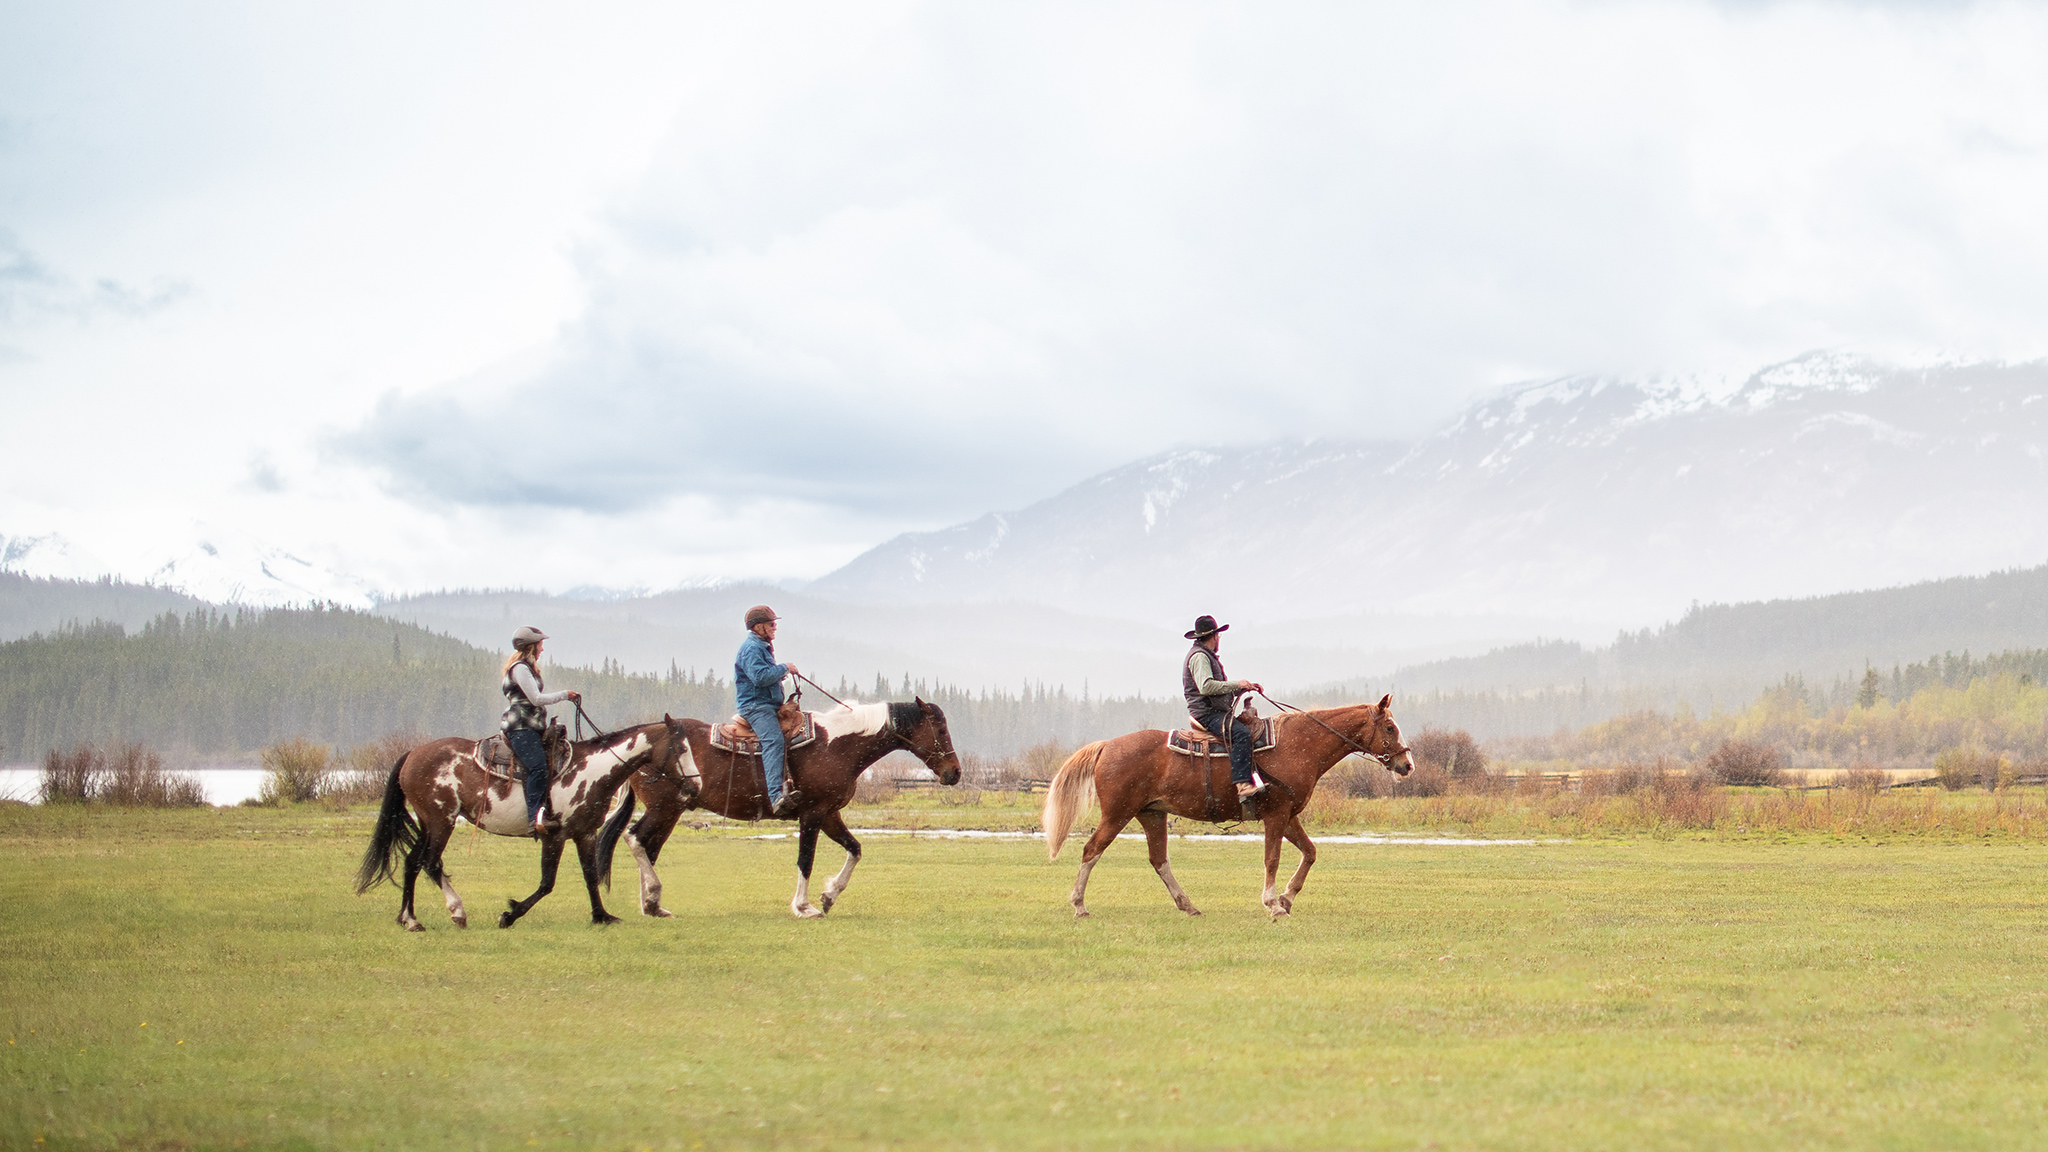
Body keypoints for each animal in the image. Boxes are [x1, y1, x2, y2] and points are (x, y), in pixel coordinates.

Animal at [352, 713, 696, 926]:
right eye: (681, 748)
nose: (695, 787)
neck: (592, 769)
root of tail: (412, 754)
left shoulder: (584, 833)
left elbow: (589, 876)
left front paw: (602, 916)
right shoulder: (554, 836)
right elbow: (547, 883)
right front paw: (510, 914)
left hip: (428, 822)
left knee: (412, 861)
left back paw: (409, 919)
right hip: (441, 821)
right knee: (430, 862)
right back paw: (456, 912)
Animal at [598, 696, 962, 918]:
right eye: (941, 729)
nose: (955, 773)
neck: (838, 746)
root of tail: (643, 741)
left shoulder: (830, 814)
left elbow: (855, 849)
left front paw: (829, 895)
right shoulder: (812, 814)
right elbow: (805, 860)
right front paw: (804, 907)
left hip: (670, 812)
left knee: (648, 846)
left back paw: (652, 905)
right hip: (663, 808)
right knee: (634, 838)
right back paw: (652, 897)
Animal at [1040, 696, 1409, 918]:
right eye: (1390, 727)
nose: (1407, 764)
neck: (1298, 745)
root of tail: (1107, 746)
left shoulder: (1288, 816)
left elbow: (1310, 852)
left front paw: (1287, 898)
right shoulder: (1276, 816)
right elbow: (1272, 858)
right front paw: (1273, 904)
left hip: (1152, 815)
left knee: (1159, 860)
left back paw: (1188, 906)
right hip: (1117, 814)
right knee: (1092, 849)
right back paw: (1079, 905)